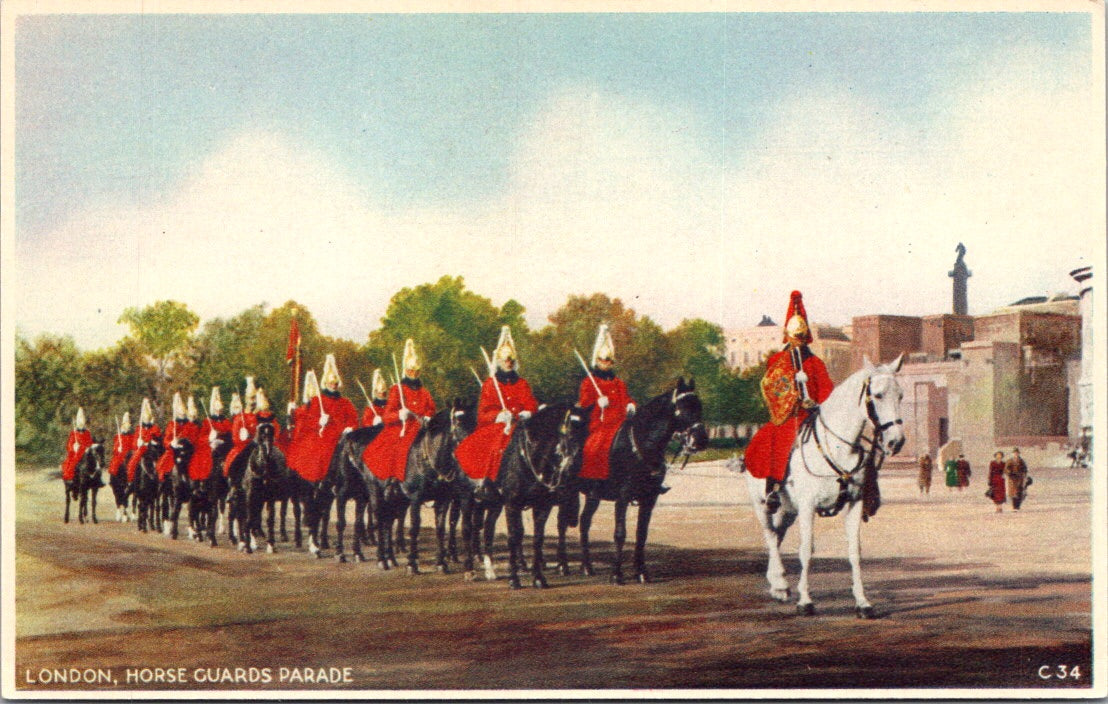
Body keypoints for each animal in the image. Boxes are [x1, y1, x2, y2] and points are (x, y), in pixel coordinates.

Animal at [452, 401, 589, 589]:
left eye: (586, 432)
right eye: (568, 431)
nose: (575, 467)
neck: (531, 455)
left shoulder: (542, 505)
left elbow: (538, 539)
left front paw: (538, 578)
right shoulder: (512, 504)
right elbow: (513, 536)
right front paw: (514, 579)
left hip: (495, 503)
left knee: (488, 529)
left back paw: (490, 570)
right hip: (467, 498)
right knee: (467, 528)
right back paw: (469, 571)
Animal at [562, 376, 709, 585]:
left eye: (698, 405)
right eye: (683, 406)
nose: (701, 440)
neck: (641, 444)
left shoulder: (649, 498)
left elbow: (641, 534)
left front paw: (641, 572)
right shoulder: (622, 497)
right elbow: (620, 533)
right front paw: (616, 574)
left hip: (592, 495)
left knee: (584, 522)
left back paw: (587, 567)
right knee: (562, 525)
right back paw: (562, 566)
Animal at [744, 354, 899, 620]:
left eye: (900, 395)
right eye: (878, 395)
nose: (896, 441)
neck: (839, 447)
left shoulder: (854, 503)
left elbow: (854, 552)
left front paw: (862, 602)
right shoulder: (808, 506)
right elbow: (806, 550)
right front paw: (805, 601)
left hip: (787, 510)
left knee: (777, 534)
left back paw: (776, 584)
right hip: (762, 504)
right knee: (770, 536)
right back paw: (781, 584)